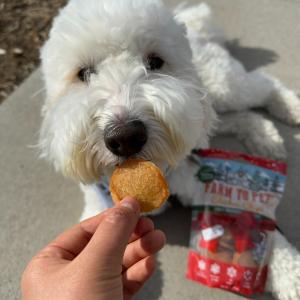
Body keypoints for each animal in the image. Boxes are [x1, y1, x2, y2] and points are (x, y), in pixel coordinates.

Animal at [39, 1, 300, 298]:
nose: (126, 137)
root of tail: (193, 26)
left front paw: (290, 274)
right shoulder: (97, 206)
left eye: (155, 62)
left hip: (222, 86)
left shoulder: (195, 177)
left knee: (263, 84)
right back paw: (264, 135)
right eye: (83, 73)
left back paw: (289, 107)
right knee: (239, 117)